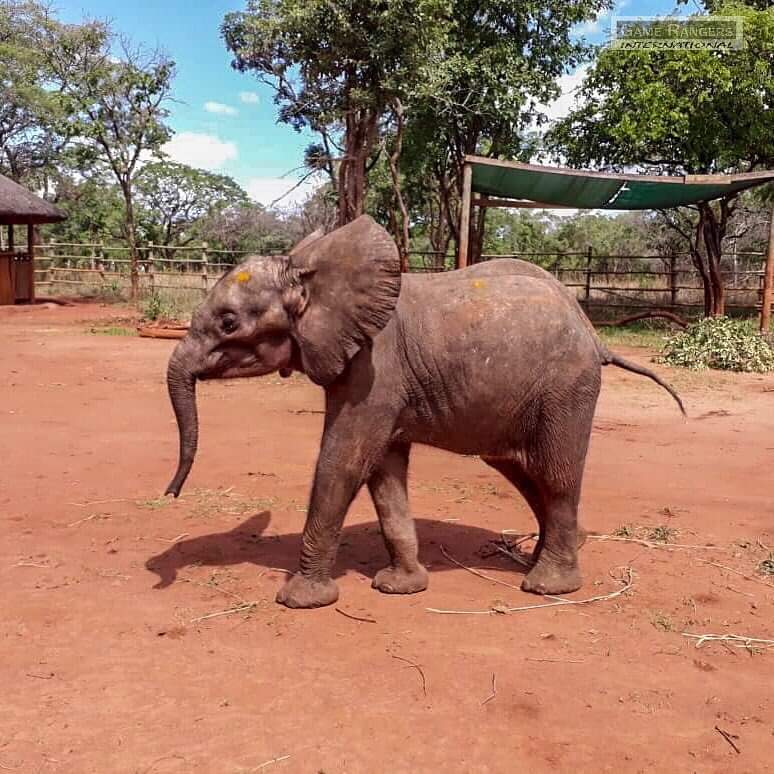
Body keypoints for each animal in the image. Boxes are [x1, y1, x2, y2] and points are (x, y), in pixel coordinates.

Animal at [164, 215, 684, 609]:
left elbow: (343, 461)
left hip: (567, 386)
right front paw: (401, 588)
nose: (170, 494)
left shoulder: (375, 369)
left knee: (555, 473)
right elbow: (383, 473)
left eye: (229, 323)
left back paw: (547, 586)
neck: (312, 270)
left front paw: (301, 600)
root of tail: (594, 333)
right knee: (519, 466)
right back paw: (559, 550)